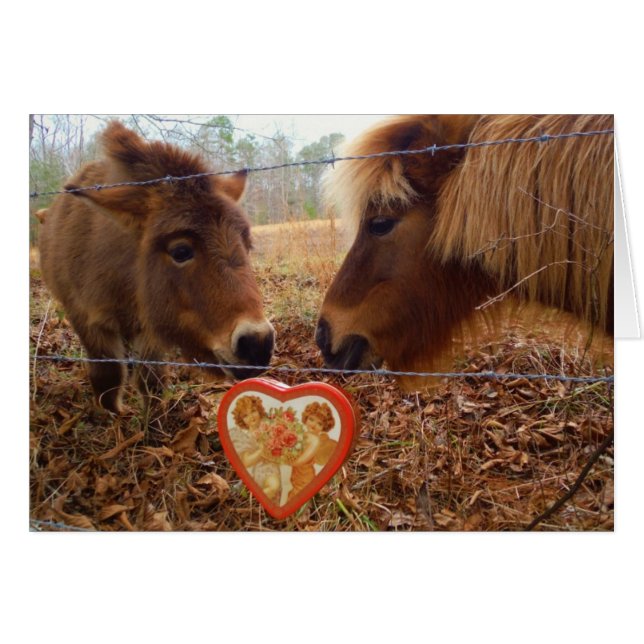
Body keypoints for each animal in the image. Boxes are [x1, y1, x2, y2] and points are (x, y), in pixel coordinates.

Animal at [39, 121, 275, 413]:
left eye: (247, 244)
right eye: (181, 251)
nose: (257, 344)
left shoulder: (148, 326)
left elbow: (152, 377)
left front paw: (155, 413)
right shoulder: (85, 318)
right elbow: (108, 375)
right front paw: (113, 414)